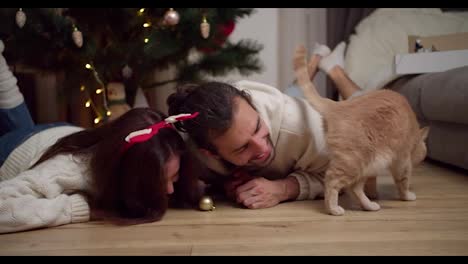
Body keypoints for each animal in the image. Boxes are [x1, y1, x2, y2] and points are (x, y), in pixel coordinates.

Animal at [294, 44, 430, 214]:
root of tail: (338, 106)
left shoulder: (377, 168)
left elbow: (369, 185)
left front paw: (373, 195)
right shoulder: (402, 161)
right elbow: (403, 181)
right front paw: (407, 196)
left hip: (365, 164)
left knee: (355, 188)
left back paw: (369, 205)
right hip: (353, 162)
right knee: (332, 180)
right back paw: (334, 209)